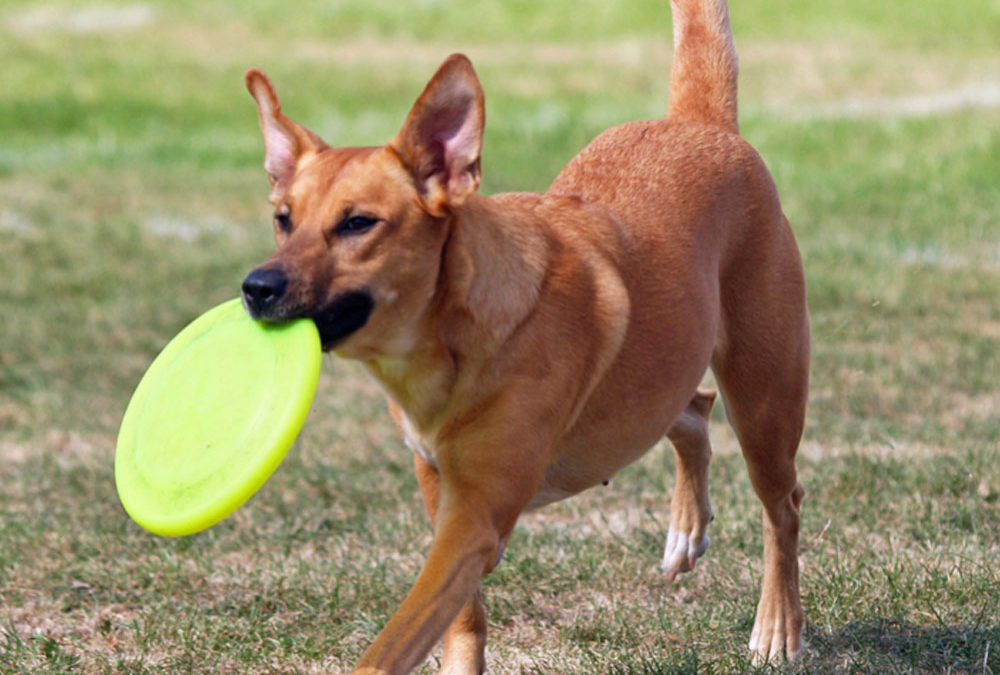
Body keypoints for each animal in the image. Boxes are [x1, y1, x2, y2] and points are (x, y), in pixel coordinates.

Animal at [238, 0, 808, 672]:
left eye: (358, 223)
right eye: (283, 219)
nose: (256, 288)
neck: (449, 340)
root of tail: (698, 124)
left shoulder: (478, 514)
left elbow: (395, 641)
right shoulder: (441, 490)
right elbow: (462, 617)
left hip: (765, 396)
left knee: (782, 506)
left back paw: (778, 626)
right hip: (651, 384)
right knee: (693, 407)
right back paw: (686, 532)